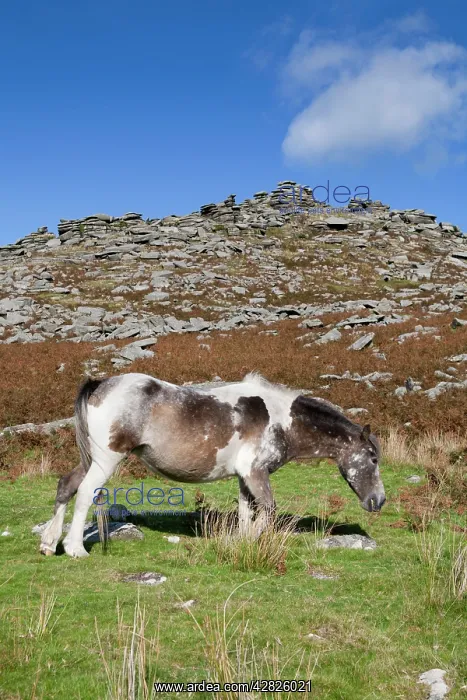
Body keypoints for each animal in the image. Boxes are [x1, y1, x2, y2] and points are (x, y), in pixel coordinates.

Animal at [40, 372, 385, 558]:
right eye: (373, 458)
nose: (379, 500)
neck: (282, 421)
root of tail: (100, 384)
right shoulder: (256, 474)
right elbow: (268, 510)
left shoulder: (246, 478)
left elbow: (247, 514)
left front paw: (241, 545)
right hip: (107, 459)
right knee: (85, 492)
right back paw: (75, 548)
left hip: (92, 458)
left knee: (66, 486)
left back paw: (49, 543)